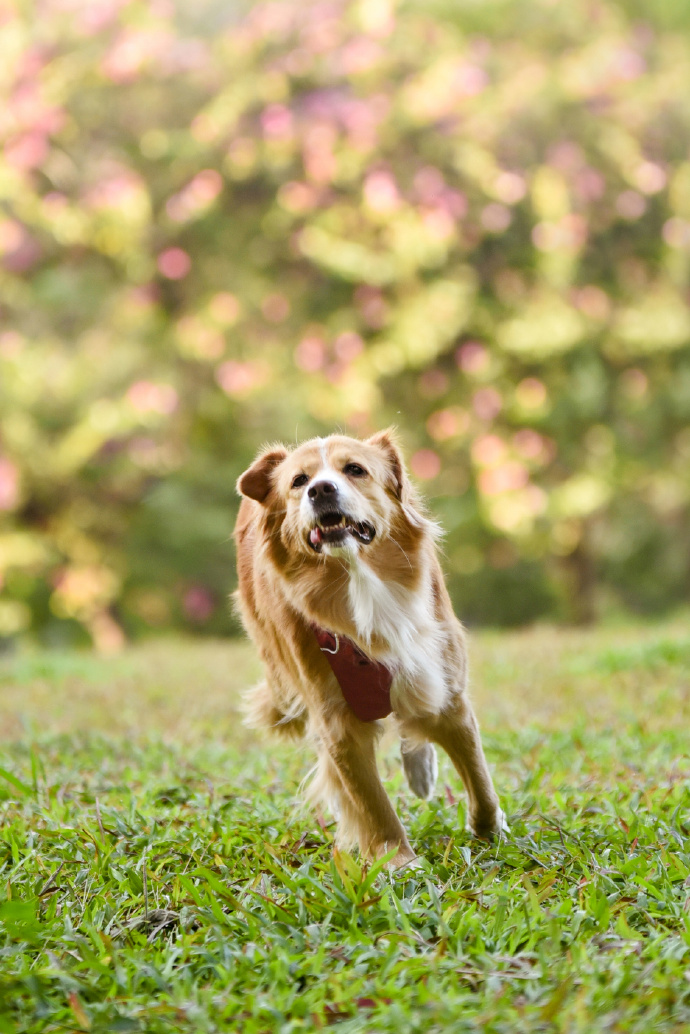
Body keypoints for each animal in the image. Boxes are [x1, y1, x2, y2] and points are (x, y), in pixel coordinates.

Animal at [234, 432, 504, 868]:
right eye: (298, 481)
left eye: (355, 470)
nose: (320, 489)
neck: (359, 580)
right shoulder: (337, 718)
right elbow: (370, 800)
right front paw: (398, 860)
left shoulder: (443, 683)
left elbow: (479, 779)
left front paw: (489, 831)